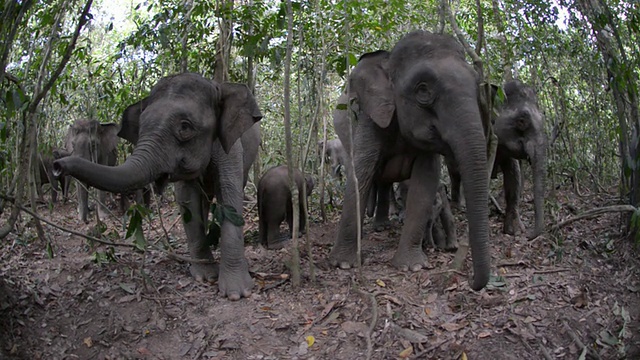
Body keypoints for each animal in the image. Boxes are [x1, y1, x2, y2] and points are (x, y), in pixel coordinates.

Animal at [53, 71, 264, 300]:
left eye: (185, 127)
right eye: (141, 125)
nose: (56, 166)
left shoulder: (230, 148)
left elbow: (229, 193)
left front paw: (236, 293)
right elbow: (187, 199)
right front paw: (205, 275)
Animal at [330, 29, 490, 292]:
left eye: (478, 87)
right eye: (423, 90)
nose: (469, 280)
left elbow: (425, 181)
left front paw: (412, 267)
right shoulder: (370, 117)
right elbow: (360, 174)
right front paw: (342, 264)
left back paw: (383, 226)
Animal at [448, 80, 548, 240]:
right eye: (521, 121)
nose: (529, 235)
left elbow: (514, 176)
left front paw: (513, 231)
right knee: (454, 173)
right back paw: (457, 207)